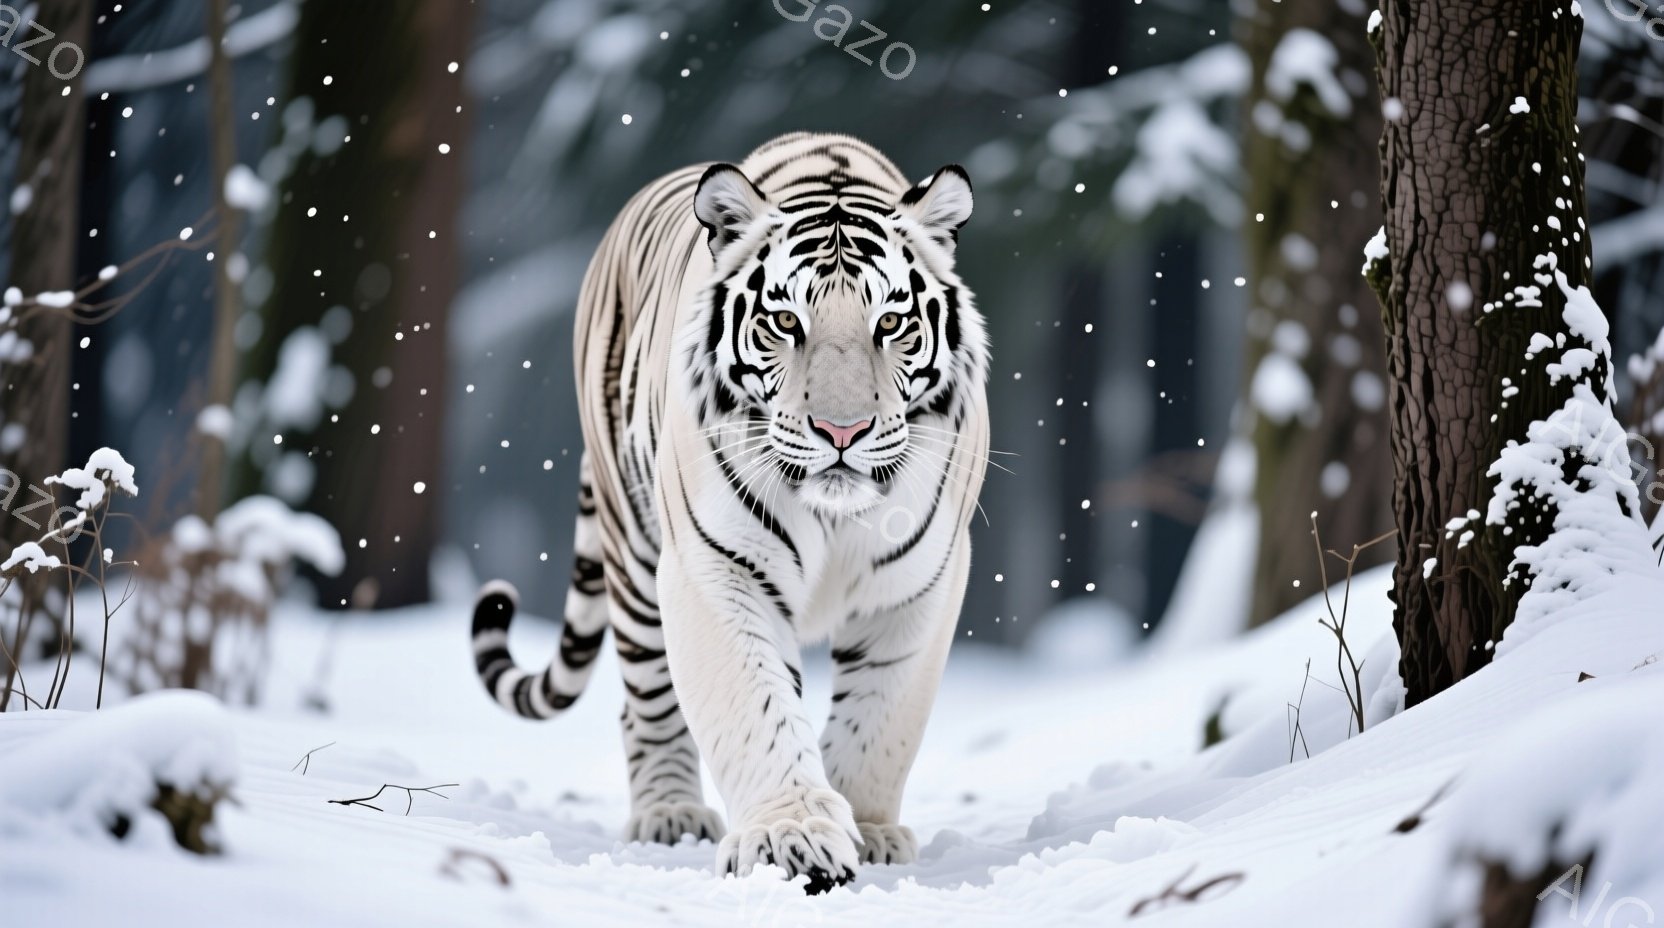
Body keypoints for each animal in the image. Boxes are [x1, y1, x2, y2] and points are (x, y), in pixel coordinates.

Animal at [470, 132, 989, 892]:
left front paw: (866, 830)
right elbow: (755, 706)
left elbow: (881, 719)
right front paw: (791, 838)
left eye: (891, 322)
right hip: (634, 555)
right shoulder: (716, 568)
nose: (842, 432)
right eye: (785, 321)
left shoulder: (918, 582)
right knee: (646, 700)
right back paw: (670, 815)